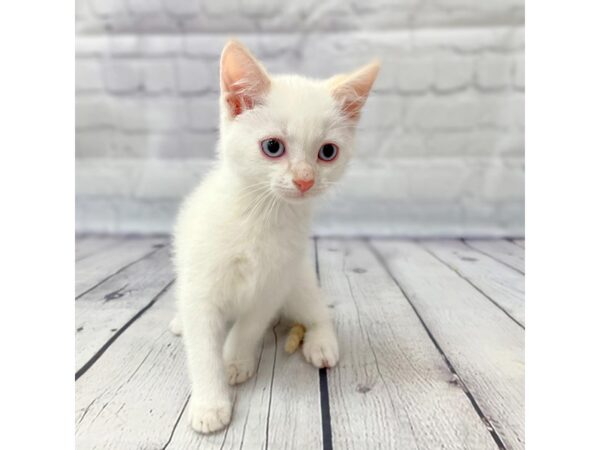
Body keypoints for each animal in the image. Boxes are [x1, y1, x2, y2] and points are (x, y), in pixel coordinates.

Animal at [171, 40, 378, 434]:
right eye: (272, 147)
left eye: (328, 152)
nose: (305, 180)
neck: (262, 216)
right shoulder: (200, 286)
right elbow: (201, 345)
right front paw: (210, 403)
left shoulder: (275, 281)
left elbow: (250, 325)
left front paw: (235, 359)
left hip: (299, 280)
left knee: (317, 311)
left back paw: (321, 342)